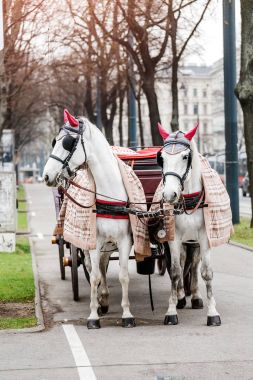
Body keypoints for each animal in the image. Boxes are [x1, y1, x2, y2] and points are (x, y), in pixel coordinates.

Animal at [42, 108, 135, 328]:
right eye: (54, 140)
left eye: (67, 142)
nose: (46, 175)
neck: (110, 193)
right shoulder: (94, 241)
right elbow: (94, 277)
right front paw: (93, 315)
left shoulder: (125, 240)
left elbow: (123, 276)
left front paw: (127, 314)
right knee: (95, 267)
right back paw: (101, 300)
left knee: (103, 264)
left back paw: (105, 298)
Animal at [157, 124, 220, 326]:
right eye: (162, 158)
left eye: (185, 156)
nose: (170, 194)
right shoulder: (174, 237)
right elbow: (175, 271)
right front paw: (171, 310)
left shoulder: (204, 237)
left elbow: (206, 272)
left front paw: (212, 313)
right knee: (184, 262)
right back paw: (181, 296)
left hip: (195, 241)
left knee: (193, 265)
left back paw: (195, 296)